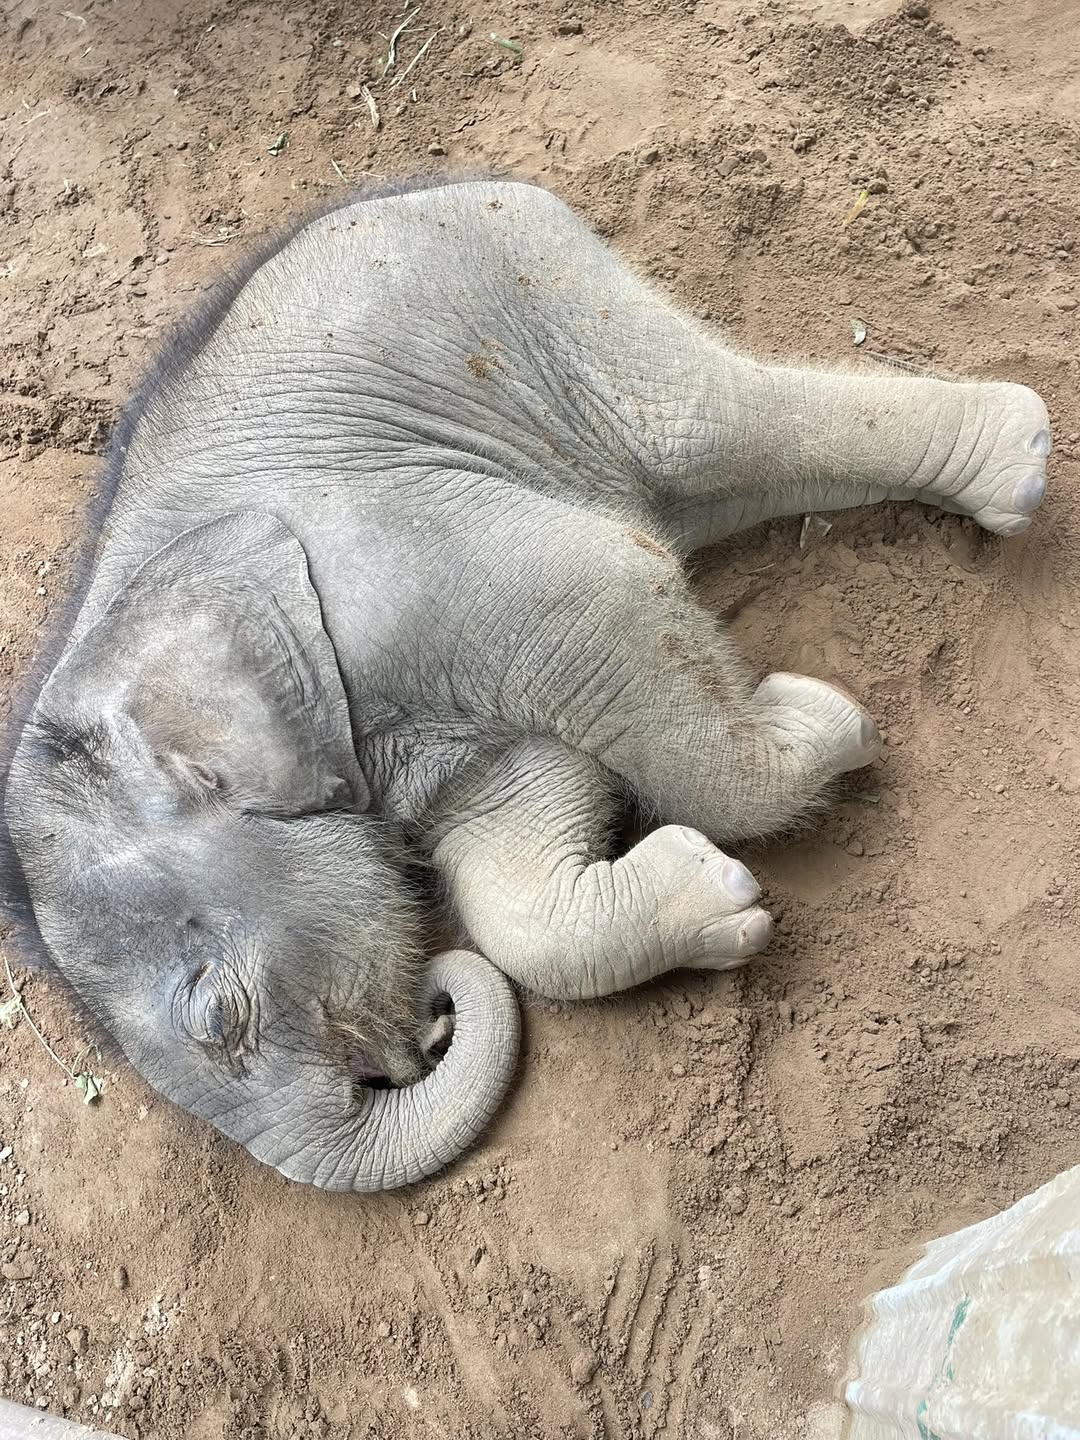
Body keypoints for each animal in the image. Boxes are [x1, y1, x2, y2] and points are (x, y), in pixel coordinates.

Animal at [0, 176, 1051, 1191]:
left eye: (219, 1014)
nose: (433, 1017)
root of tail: (430, 184)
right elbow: (523, 820)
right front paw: (720, 897)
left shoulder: (398, 575)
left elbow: (609, 585)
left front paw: (829, 721)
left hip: (531, 287)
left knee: (703, 426)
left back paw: (1018, 465)